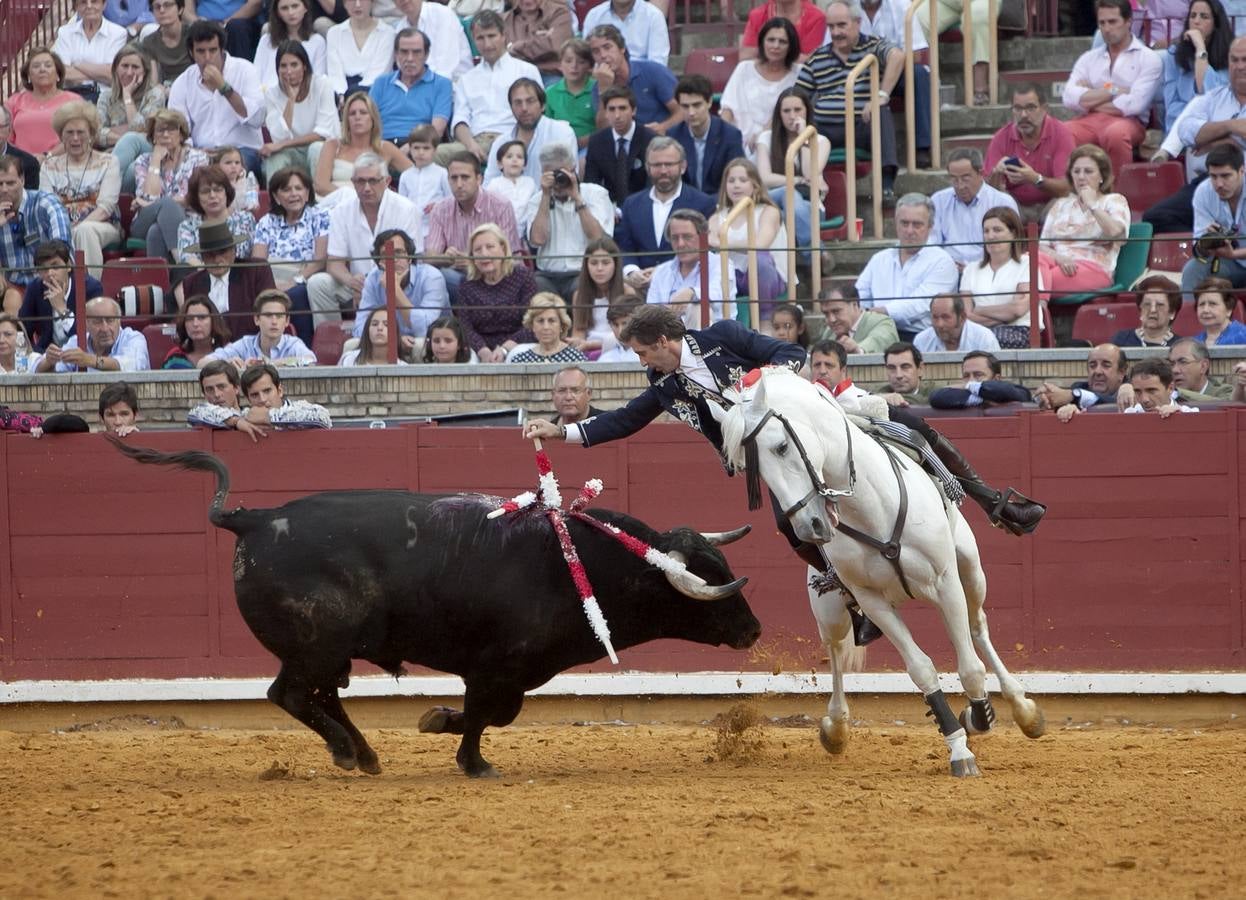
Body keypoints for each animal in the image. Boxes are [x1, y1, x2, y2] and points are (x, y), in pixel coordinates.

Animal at [114, 438, 757, 772]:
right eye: (708, 576)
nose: (752, 629)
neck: (582, 564)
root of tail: (253, 518)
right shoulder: (496, 667)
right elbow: (487, 714)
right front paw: (466, 754)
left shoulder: (505, 670)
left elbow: (493, 714)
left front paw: (444, 730)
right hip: (319, 646)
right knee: (292, 695)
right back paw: (350, 754)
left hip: (325, 653)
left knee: (313, 696)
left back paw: (364, 754)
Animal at [722, 368, 1041, 772]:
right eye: (753, 468)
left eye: (781, 446)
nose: (810, 527)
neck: (868, 508)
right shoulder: (871, 601)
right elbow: (921, 669)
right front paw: (959, 746)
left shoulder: (946, 582)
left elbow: (970, 668)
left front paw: (978, 718)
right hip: (830, 610)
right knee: (836, 653)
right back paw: (836, 727)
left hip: (970, 570)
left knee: (976, 626)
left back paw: (1022, 707)